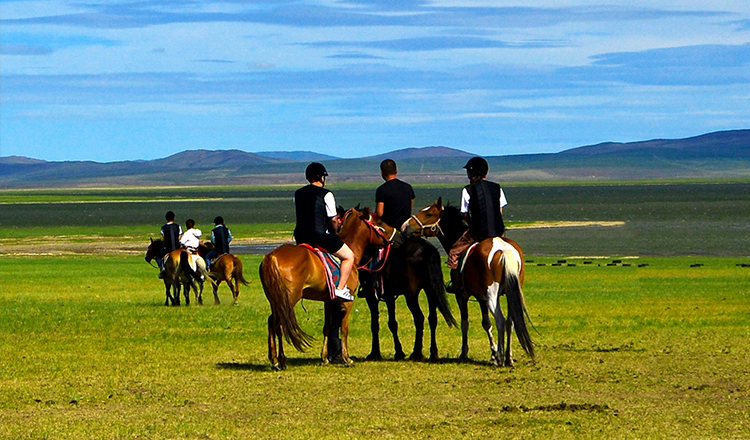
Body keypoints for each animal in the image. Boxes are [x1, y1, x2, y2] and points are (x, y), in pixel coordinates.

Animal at [258, 208, 396, 370]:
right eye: (379, 222)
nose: (395, 234)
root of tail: (271, 256)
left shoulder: (329, 301)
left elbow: (327, 327)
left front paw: (324, 358)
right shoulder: (347, 303)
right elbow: (344, 329)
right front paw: (347, 358)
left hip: (276, 300)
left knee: (273, 323)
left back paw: (276, 359)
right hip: (288, 299)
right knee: (278, 323)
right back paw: (278, 360)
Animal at [406, 199, 536, 364]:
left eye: (428, 213)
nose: (405, 226)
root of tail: (504, 250)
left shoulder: (462, 296)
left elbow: (465, 324)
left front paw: (465, 353)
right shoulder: (481, 298)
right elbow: (486, 324)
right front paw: (493, 351)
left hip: (492, 295)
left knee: (500, 320)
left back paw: (500, 358)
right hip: (511, 294)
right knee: (510, 322)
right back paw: (508, 357)